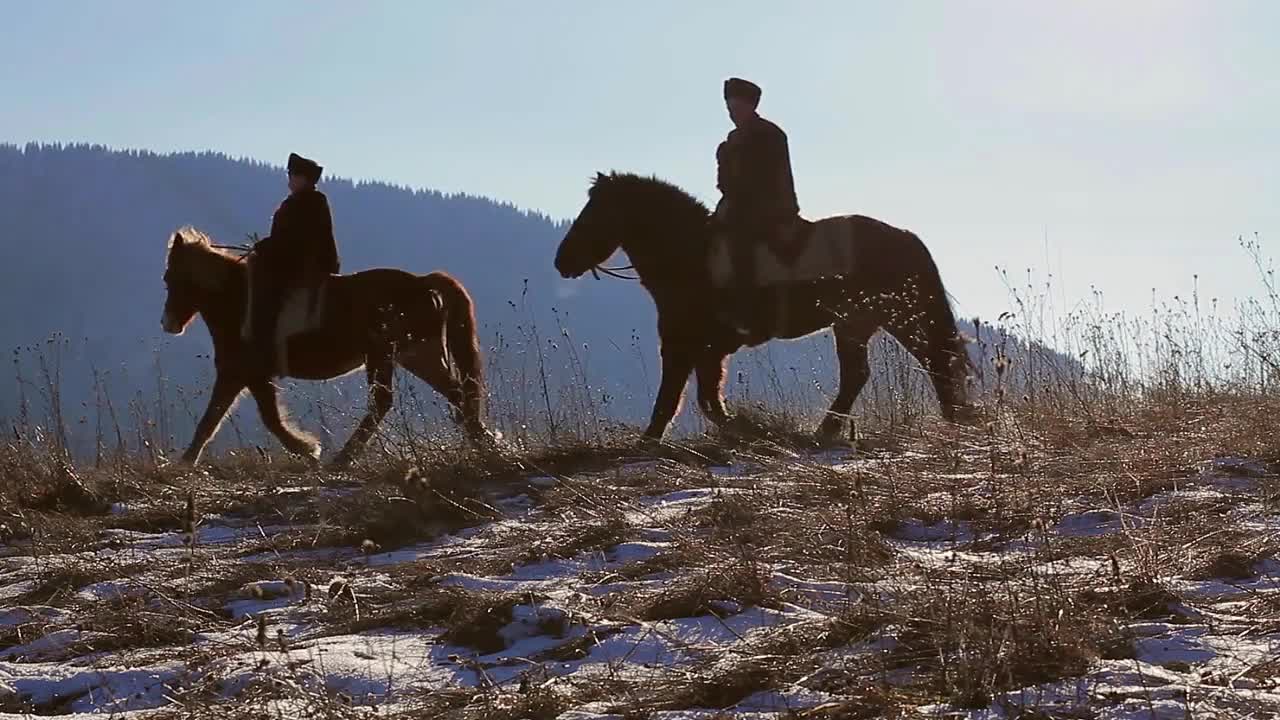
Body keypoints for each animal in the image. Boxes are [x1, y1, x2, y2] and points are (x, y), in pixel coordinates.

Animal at [161, 228, 488, 466]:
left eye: (170, 277)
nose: (168, 323)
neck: (237, 301)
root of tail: (423, 283)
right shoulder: (241, 375)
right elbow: (215, 419)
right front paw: (185, 463)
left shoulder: (246, 374)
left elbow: (261, 419)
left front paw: (307, 449)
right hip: (416, 356)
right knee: (456, 394)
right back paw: (486, 442)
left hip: (388, 355)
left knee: (385, 402)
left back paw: (343, 459)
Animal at [550, 172, 967, 440]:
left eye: (593, 213)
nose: (562, 261)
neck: (690, 255)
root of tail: (904, 237)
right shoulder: (708, 351)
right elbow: (706, 399)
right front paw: (745, 426)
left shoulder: (684, 345)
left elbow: (673, 399)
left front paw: (652, 441)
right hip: (860, 323)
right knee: (868, 372)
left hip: (890, 318)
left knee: (931, 360)